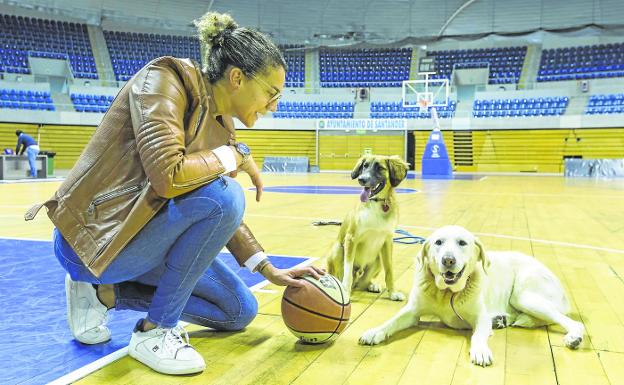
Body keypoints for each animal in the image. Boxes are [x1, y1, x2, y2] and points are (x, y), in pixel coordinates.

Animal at [326, 154, 410, 302]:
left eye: (380, 168)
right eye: (364, 166)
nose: (362, 179)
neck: (376, 203)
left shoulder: (388, 241)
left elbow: (390, 271)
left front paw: (393, 293)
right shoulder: (351, 239)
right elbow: (348, 272)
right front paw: (345, 292)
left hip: (378, 259)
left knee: (363, 282)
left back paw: (371, 285)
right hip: (338, 249)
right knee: (339, 276)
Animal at [358, 225, 584, 366]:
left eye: (462, 243)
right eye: (438, 242)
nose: (448, 260)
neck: (447, 293)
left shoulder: (480, 318)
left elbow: (478, 335)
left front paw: (480, 351)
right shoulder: (412, 312)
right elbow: (391, 322)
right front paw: (374, 332)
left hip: (523, 297)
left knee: (572, 322)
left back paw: (574, 338)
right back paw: (501, 319)